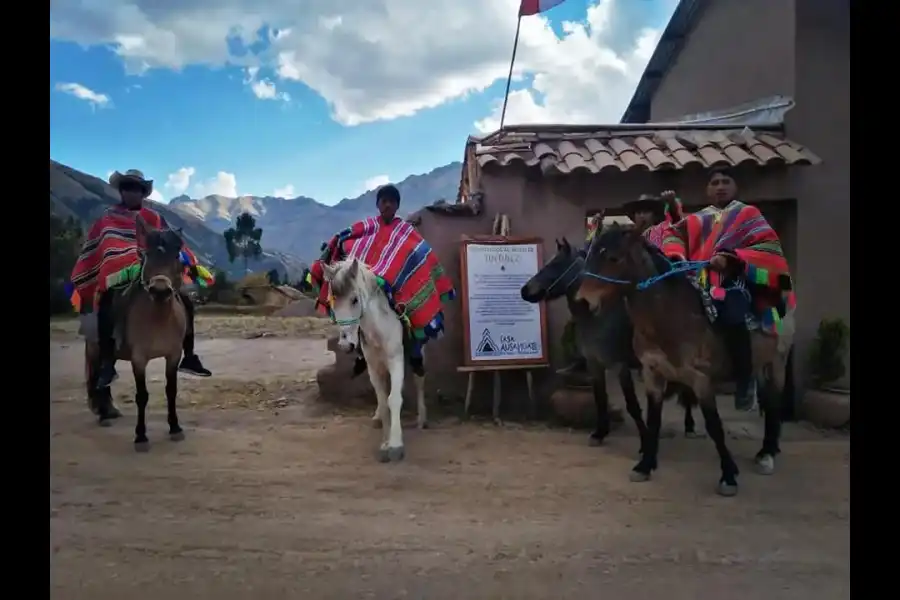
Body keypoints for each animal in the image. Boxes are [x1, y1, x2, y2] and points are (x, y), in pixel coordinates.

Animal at [85, 216, 189, 450]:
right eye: (146, 254)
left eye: (176, 255)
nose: (160, 290)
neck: (159, 318)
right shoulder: (139, 359)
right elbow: (142, 395)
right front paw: (141, 436)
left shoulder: (173, 355)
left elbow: (171, 391)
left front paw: (175, 427)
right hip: (96, 350)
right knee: (96, 378)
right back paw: (103, 415)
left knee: (104, 377)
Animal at [322, 258, 428, 464]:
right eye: (332, 301)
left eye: (355, 299)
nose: (345, 345)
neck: (379, 331)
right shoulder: (373, 367)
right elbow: (383, 400)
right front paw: (385, 443)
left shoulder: (396, 360)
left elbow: (393, 399)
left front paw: (395, 446)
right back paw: (378, 417)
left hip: (417, 354)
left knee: (419, 380)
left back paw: (422, 419)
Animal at [576, 223, 796, 494]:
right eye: (590, 255)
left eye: (613, 258)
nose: (583, 302)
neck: (670, 317)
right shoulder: (652, 373)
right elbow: (653, 420)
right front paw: (645, 466)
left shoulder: (701, 380)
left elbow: (714, 426)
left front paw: (728, 476)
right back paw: (769, 448)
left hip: (777, 364)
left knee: (774, 404)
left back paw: (767, 454)